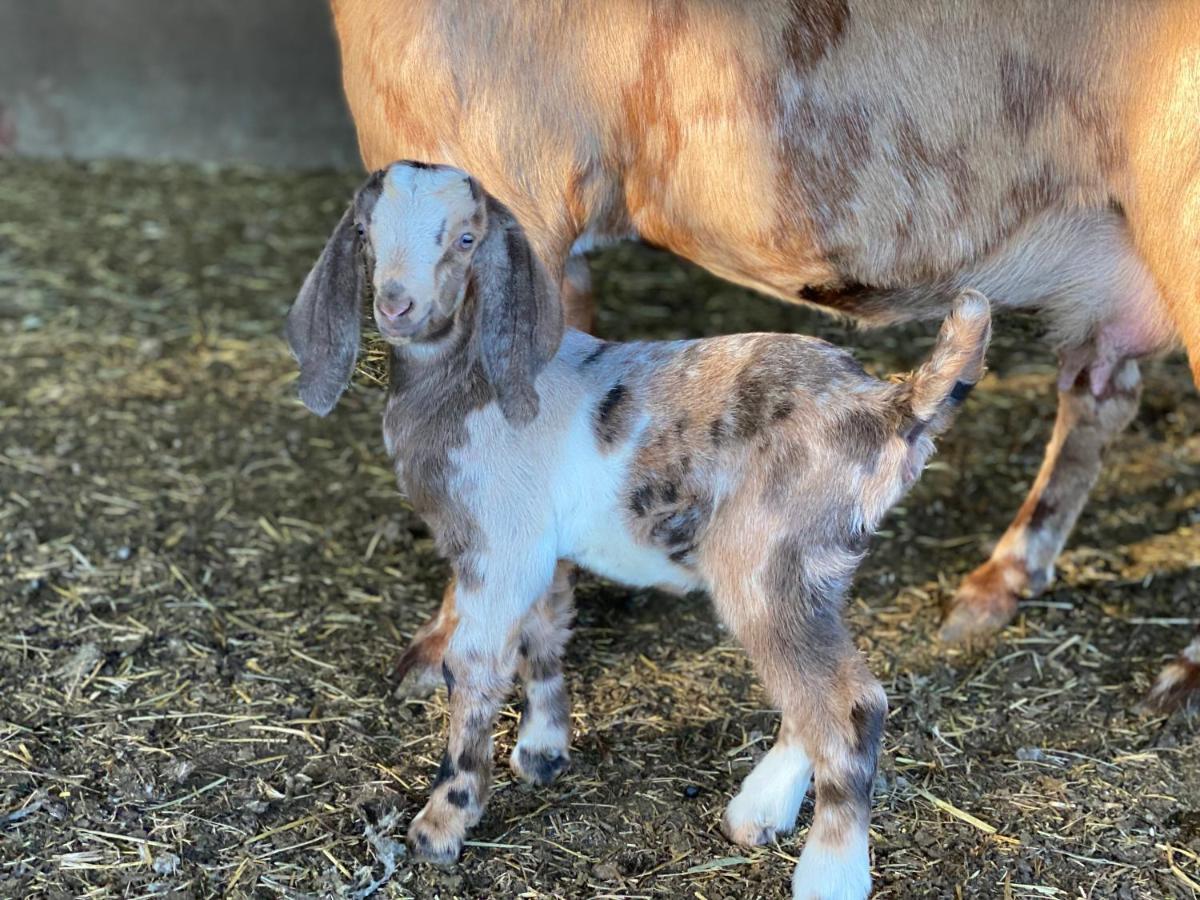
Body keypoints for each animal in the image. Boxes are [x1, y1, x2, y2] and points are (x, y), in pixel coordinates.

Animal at [285, 162, 988, 900]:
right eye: (365, 232)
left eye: (467, 238)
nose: (397, 306)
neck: (470, 386)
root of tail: (888, 405)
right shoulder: (542, 549)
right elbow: (544, 634)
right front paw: (542, 751)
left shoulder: (500, 550)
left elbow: (473, 669)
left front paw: (442, 825)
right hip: (816, 573)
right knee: (812, 697)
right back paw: (759, 812)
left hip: (767, 567)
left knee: (852, 705)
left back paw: (829, 873)